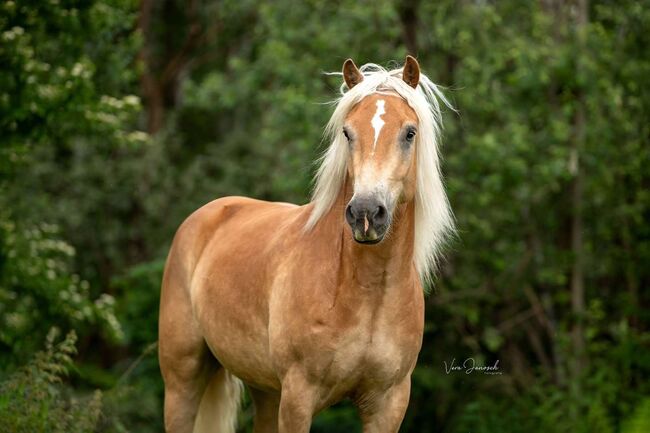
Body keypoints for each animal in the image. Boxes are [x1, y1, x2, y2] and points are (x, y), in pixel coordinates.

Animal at [158, 56, 450, 432]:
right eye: (347, 132)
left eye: (409, 133)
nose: (366, 213)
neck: (365, 292)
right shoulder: (298, 397)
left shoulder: (389, 404)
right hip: (183, 380)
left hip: (266, 391)